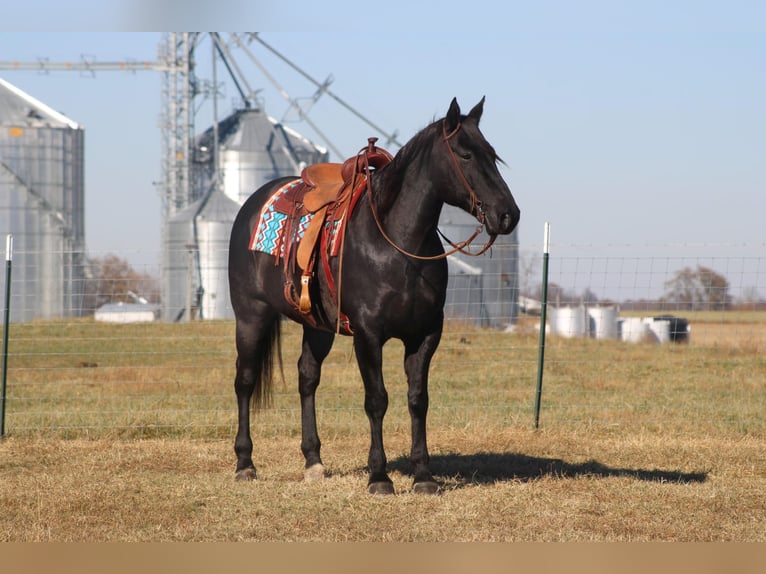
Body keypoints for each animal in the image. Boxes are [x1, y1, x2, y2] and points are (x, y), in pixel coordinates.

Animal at [225, 99, 520, 496]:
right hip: (250, 315)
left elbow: (418, 400)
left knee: (307, 378)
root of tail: (251, 205)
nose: (508, 215)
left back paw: (313, 461)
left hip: (318, 326)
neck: (397, 245)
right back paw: (245, 463)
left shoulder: (426, 334)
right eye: (466, 154)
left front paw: (423, 475)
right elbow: (377, 400)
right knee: (245, 380)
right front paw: (379, 476)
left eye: (492, 154)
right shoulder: (368, 334)